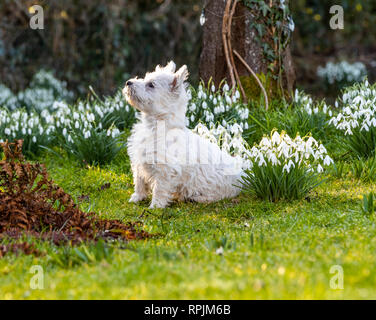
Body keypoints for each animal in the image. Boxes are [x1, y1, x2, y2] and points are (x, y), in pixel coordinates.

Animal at [122, 61, 242, 209]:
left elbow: (159, 189)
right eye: (144, 78)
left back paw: (196, 198)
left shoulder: (165, 169)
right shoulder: (139, 160)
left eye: (151, 85)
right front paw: (136, 198)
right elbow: (139, 182)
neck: (156, 126)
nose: (128, 82)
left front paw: (155, 206)